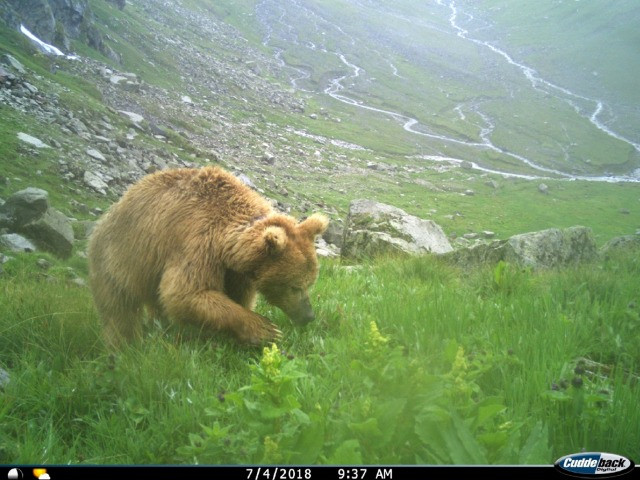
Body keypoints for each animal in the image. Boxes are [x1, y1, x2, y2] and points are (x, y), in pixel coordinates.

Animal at [87, 166, 328, 347]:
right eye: (294, 286)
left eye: (310, 283)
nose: (309, 316)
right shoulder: (198, 243)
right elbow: (187, 292)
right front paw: (266, 330)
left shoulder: (235, 271)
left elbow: (236, 295)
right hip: (119, 258)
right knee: (119, 311)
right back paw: (125, 345)